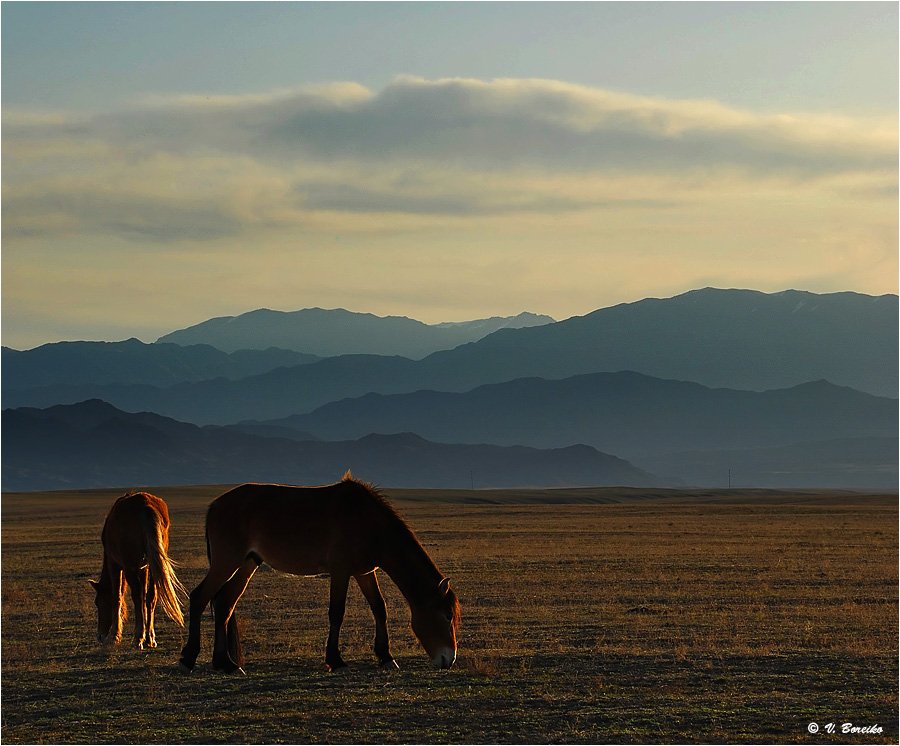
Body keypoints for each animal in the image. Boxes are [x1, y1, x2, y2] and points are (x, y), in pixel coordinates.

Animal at [91, 488, 186, 644]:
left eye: (98, 602)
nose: (100, 635)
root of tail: (146, 507)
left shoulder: (115, 564)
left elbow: (117, 596)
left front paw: (114, 635)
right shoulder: (144, 568)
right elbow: (145, 595)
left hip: (129, 567)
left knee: (137, 596)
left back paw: (138, 637)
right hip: (153, 566)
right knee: (151, 596)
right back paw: (150, 638)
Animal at [177, 470, 460, 676]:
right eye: (446, 616)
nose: (449, 659)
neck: (369, 523)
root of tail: (216, 505)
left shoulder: (365, 572)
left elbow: (379, 608)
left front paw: (386, 657)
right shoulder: (341, 571)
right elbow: (337, 613)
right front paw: (335, 660)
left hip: (248, 562)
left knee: (224, 603)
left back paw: (226, 663)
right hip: (227, 561)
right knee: (200, 597)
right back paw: (188, 659)